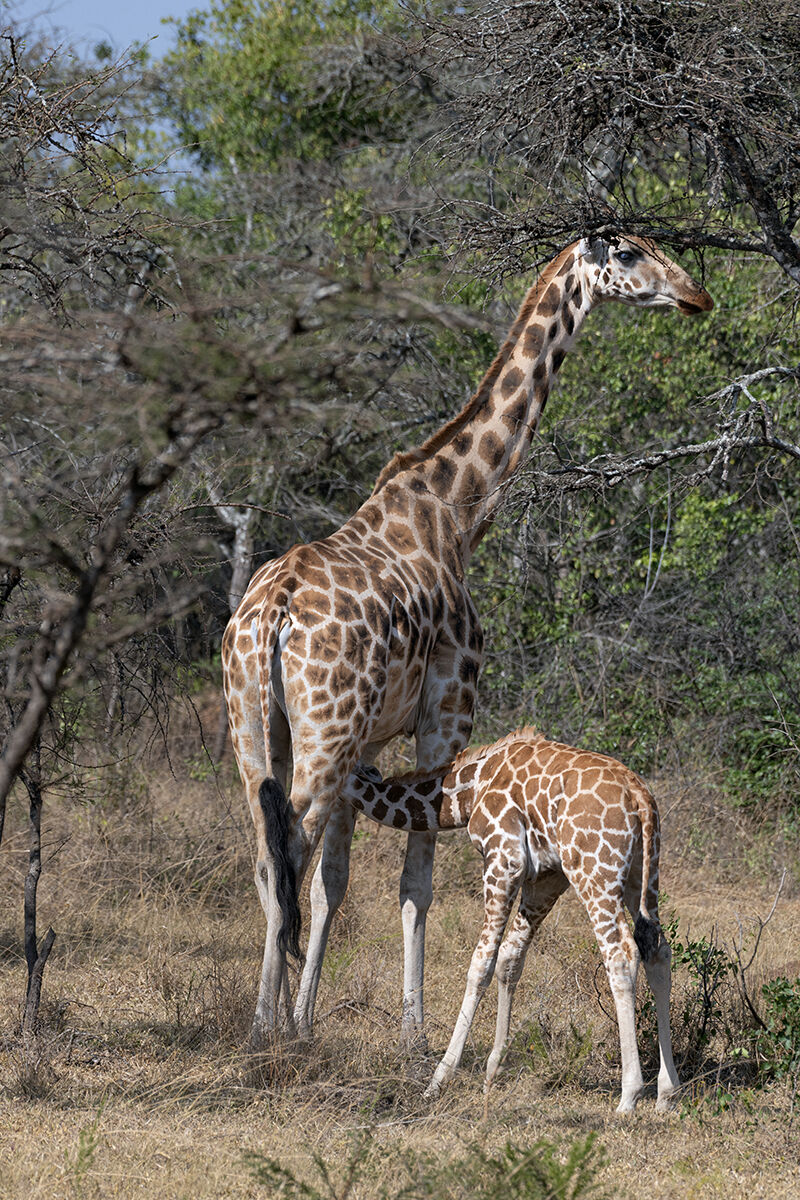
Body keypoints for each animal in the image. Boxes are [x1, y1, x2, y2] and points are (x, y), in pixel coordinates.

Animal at [221, 234, 712, 1046]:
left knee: (269, 858)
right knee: (290, 843)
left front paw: (312, 1015)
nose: (695, 296)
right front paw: (413, 1036)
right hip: (321, 731)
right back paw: (266, 1029)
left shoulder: (369, 739)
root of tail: (274, 612)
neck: (455, 512)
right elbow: (415, 881)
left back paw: (273, 1021)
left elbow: (333, 887)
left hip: (257, 727)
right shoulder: (446, 710)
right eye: (630, 253)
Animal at [343, 727, 679, 1113]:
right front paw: (493, 1071)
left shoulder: (504, 859)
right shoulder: (547, 876)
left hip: (596, 873)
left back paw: (629, 1095)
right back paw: (667, 1092)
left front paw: (438, 1080)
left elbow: (481, 964)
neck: (469, 789)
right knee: (657, 950)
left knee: (621, 955)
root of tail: (641, 798)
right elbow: (510, 959)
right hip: (643, 874)